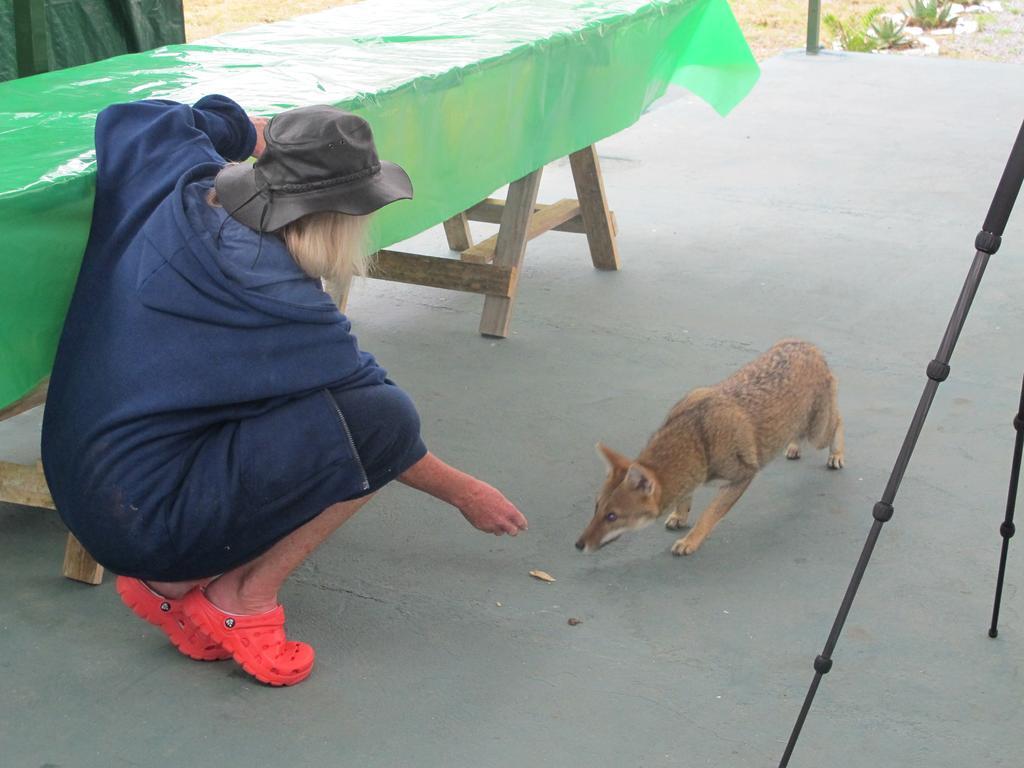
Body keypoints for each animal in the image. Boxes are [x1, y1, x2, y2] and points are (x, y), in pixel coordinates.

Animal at [573, 339, 843, 557]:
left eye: (612, 516)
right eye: (596, 508)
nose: (578, 544)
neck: (698, 438)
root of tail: (808, 346)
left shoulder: (743, 476)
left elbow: (709, 515)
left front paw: (690, 541)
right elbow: (685, 499)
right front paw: (680, 516)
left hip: (817, 434)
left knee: (838, 420)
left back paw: (837, 454)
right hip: (803, 427)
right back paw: (794, 445)